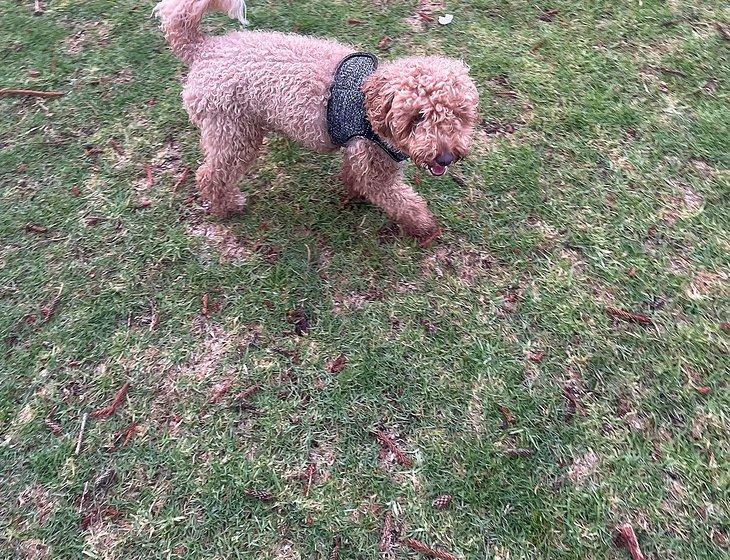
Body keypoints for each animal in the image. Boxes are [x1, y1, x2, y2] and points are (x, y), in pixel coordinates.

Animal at [154, 0, 478, 243]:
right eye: (417, 117)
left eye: (459, 114)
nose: (446, 157)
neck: (371, 104)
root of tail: (204, 48)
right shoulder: (376, 163)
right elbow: (402, 201)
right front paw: (425, 226)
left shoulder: (359, 150)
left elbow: (355, 176)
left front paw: (354, 193)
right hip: (233, 130)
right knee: (209, 175)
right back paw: (227, 206)